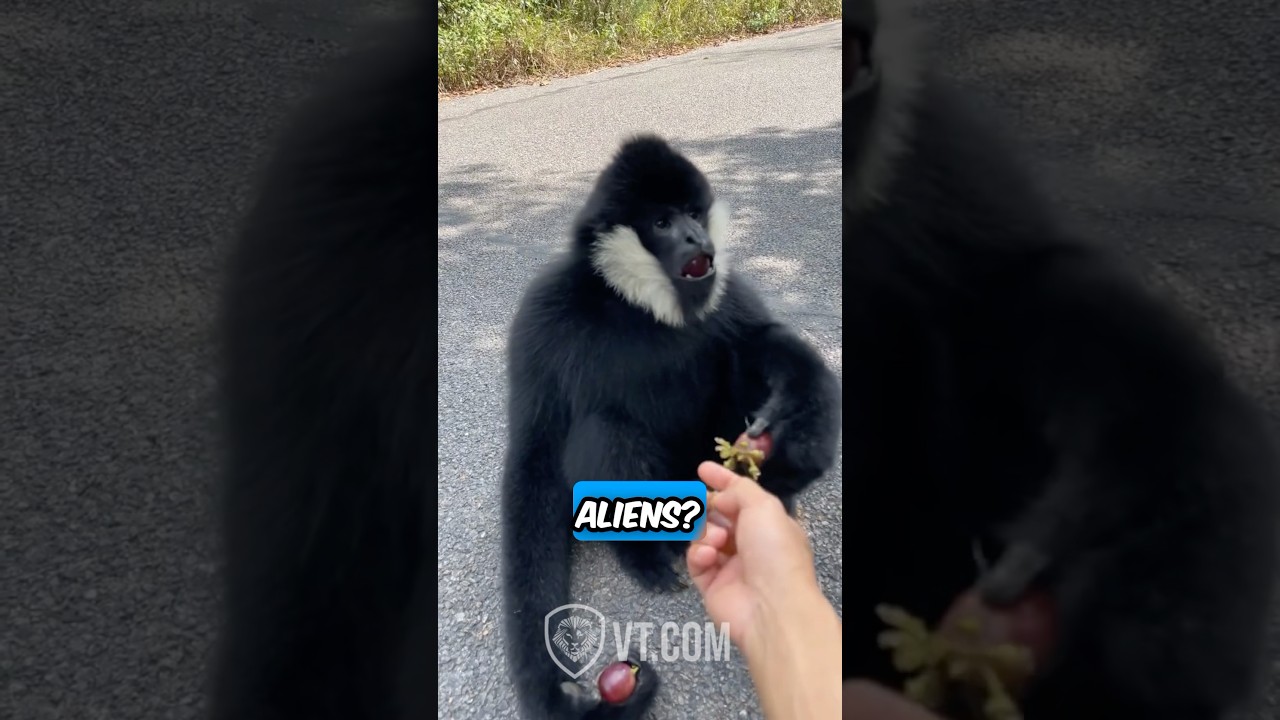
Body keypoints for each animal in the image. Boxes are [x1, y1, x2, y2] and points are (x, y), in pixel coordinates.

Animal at [500, 135, 842, 719]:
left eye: (691, 213)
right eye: (662, 222)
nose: (694, 236)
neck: (634, 304)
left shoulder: (726, 288)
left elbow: (757, 341)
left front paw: (804, 426)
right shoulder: (543, 314)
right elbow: (534, 461)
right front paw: (553, 690)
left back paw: (776, 491)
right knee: (605, 429)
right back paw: (645, 553)